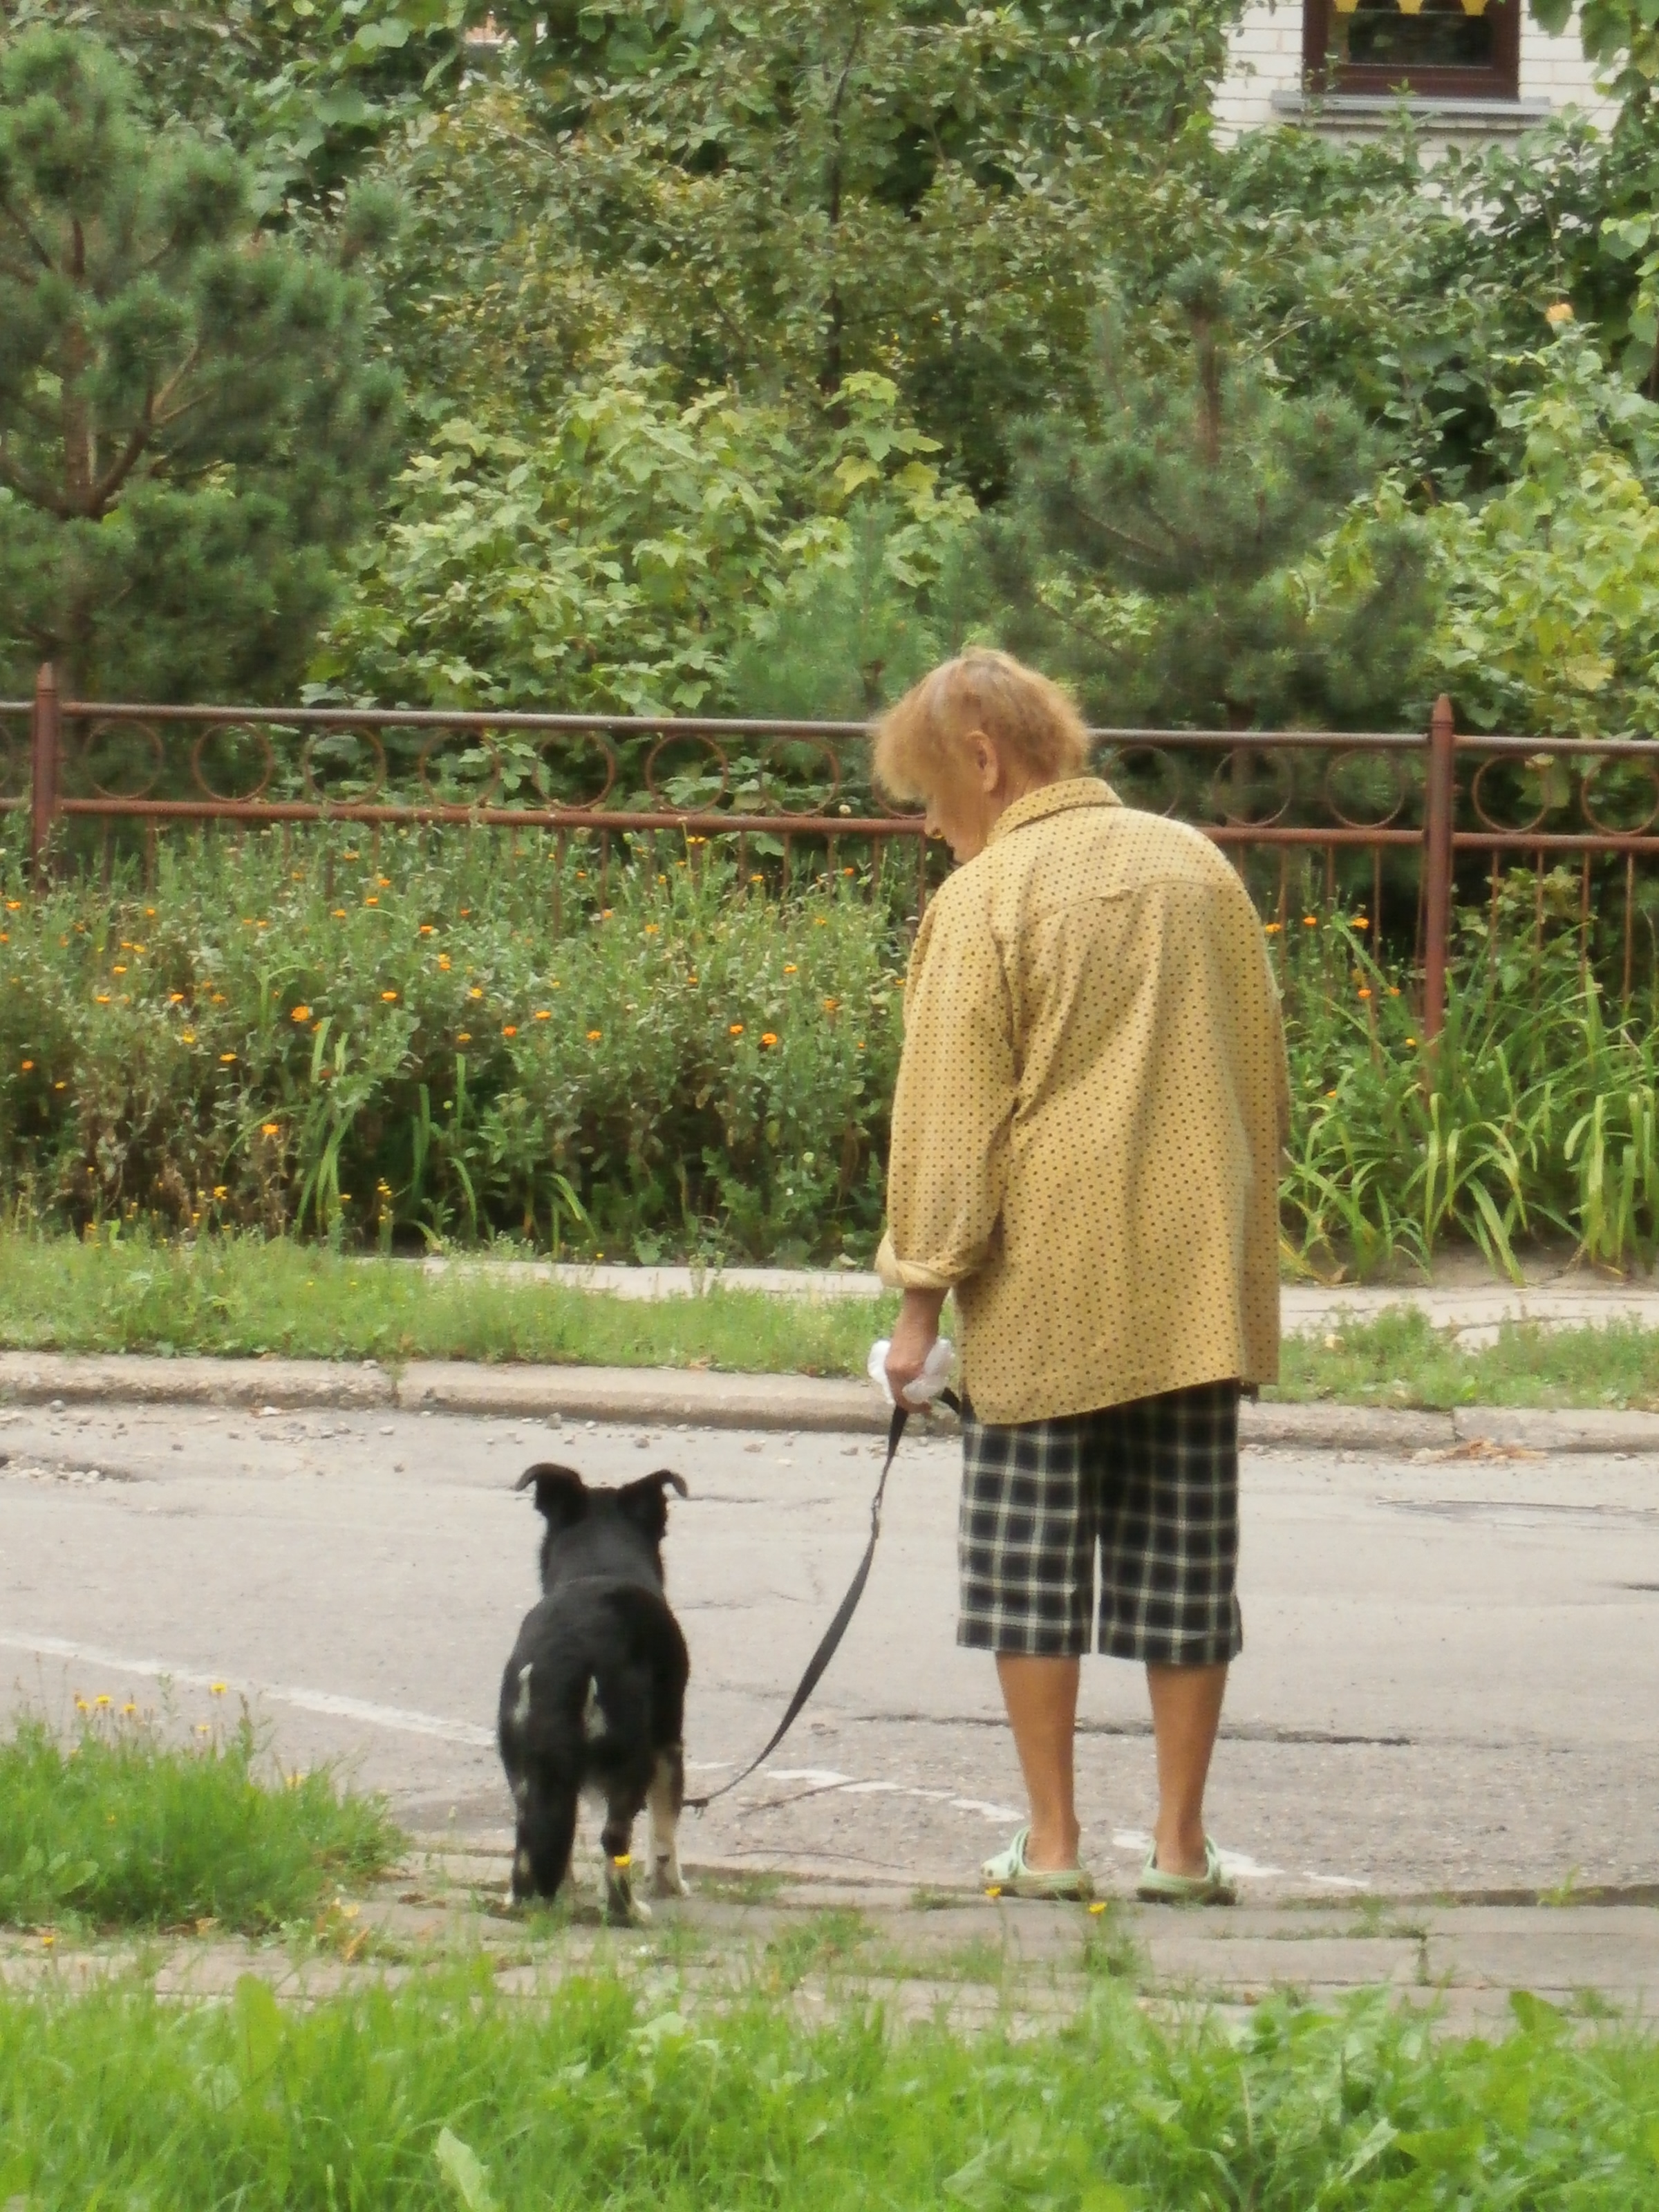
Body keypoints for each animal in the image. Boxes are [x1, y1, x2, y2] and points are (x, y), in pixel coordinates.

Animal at [498, 1462, 691, 1923]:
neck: (600, 1563)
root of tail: (568, 1653)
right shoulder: (669, 1744)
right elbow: (665, 1829)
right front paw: (670, 1885)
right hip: (632, 1757)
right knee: (615, 1840)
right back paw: (629, 1912)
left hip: (523, 1762)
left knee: (530, 1835)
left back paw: (527, 1900)